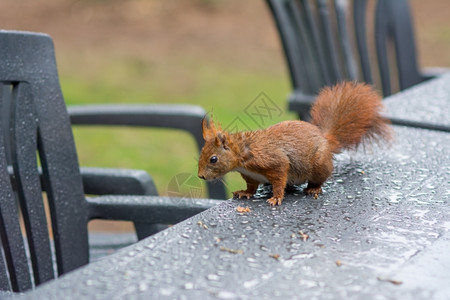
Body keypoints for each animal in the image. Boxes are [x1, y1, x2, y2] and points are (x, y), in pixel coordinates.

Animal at [199, 81, 392, 205]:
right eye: (201, 154)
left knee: (322, 177)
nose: (200, 176)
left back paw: (314, 188)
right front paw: (245, 193)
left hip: (319, 163)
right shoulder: (251, 176)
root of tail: (325, 139)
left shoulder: (273, 161)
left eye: (213, 159)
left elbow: (279, 178)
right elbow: (252, 187)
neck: (243, 155)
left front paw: (276, 197)